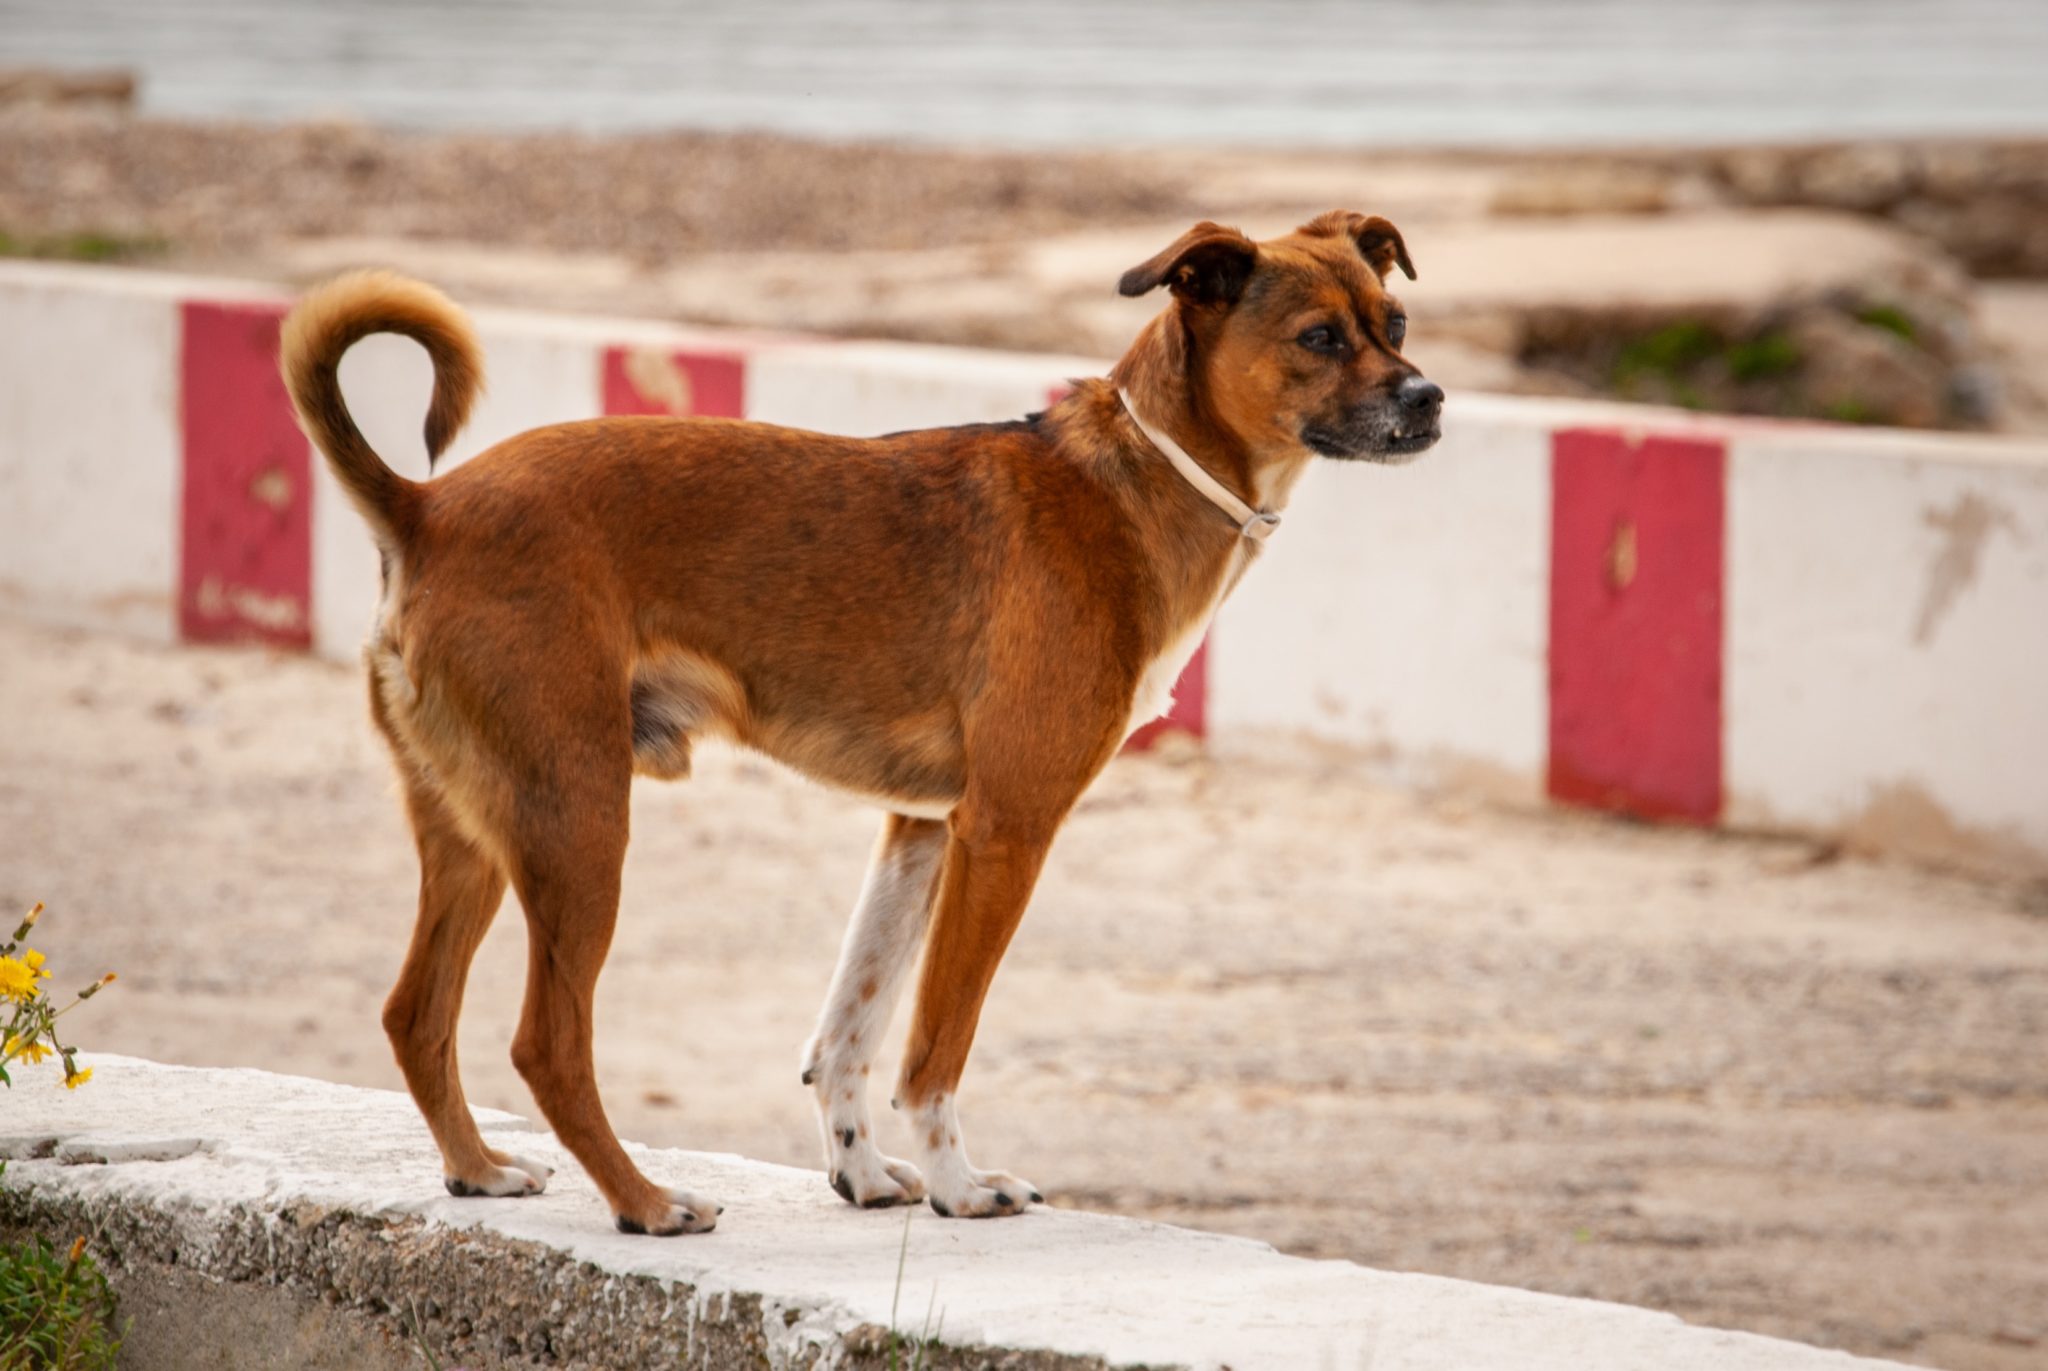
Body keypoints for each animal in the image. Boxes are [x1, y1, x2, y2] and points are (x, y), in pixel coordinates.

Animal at [284, 211, 1441, 1229]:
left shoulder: (919, 830)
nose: (1430, 398)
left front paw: (863, 1172)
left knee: (414, 1012)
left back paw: (477, 1168)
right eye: (1318, 338)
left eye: (1395, 320)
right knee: (546, 1044)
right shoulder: (1004, 832)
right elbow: (937, 1042)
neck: (1137, 476)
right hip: (577, 821)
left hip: (477, 829)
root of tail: (424, 510)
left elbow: (850, 1024)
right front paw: (958, 1188)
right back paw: (645, 1203)